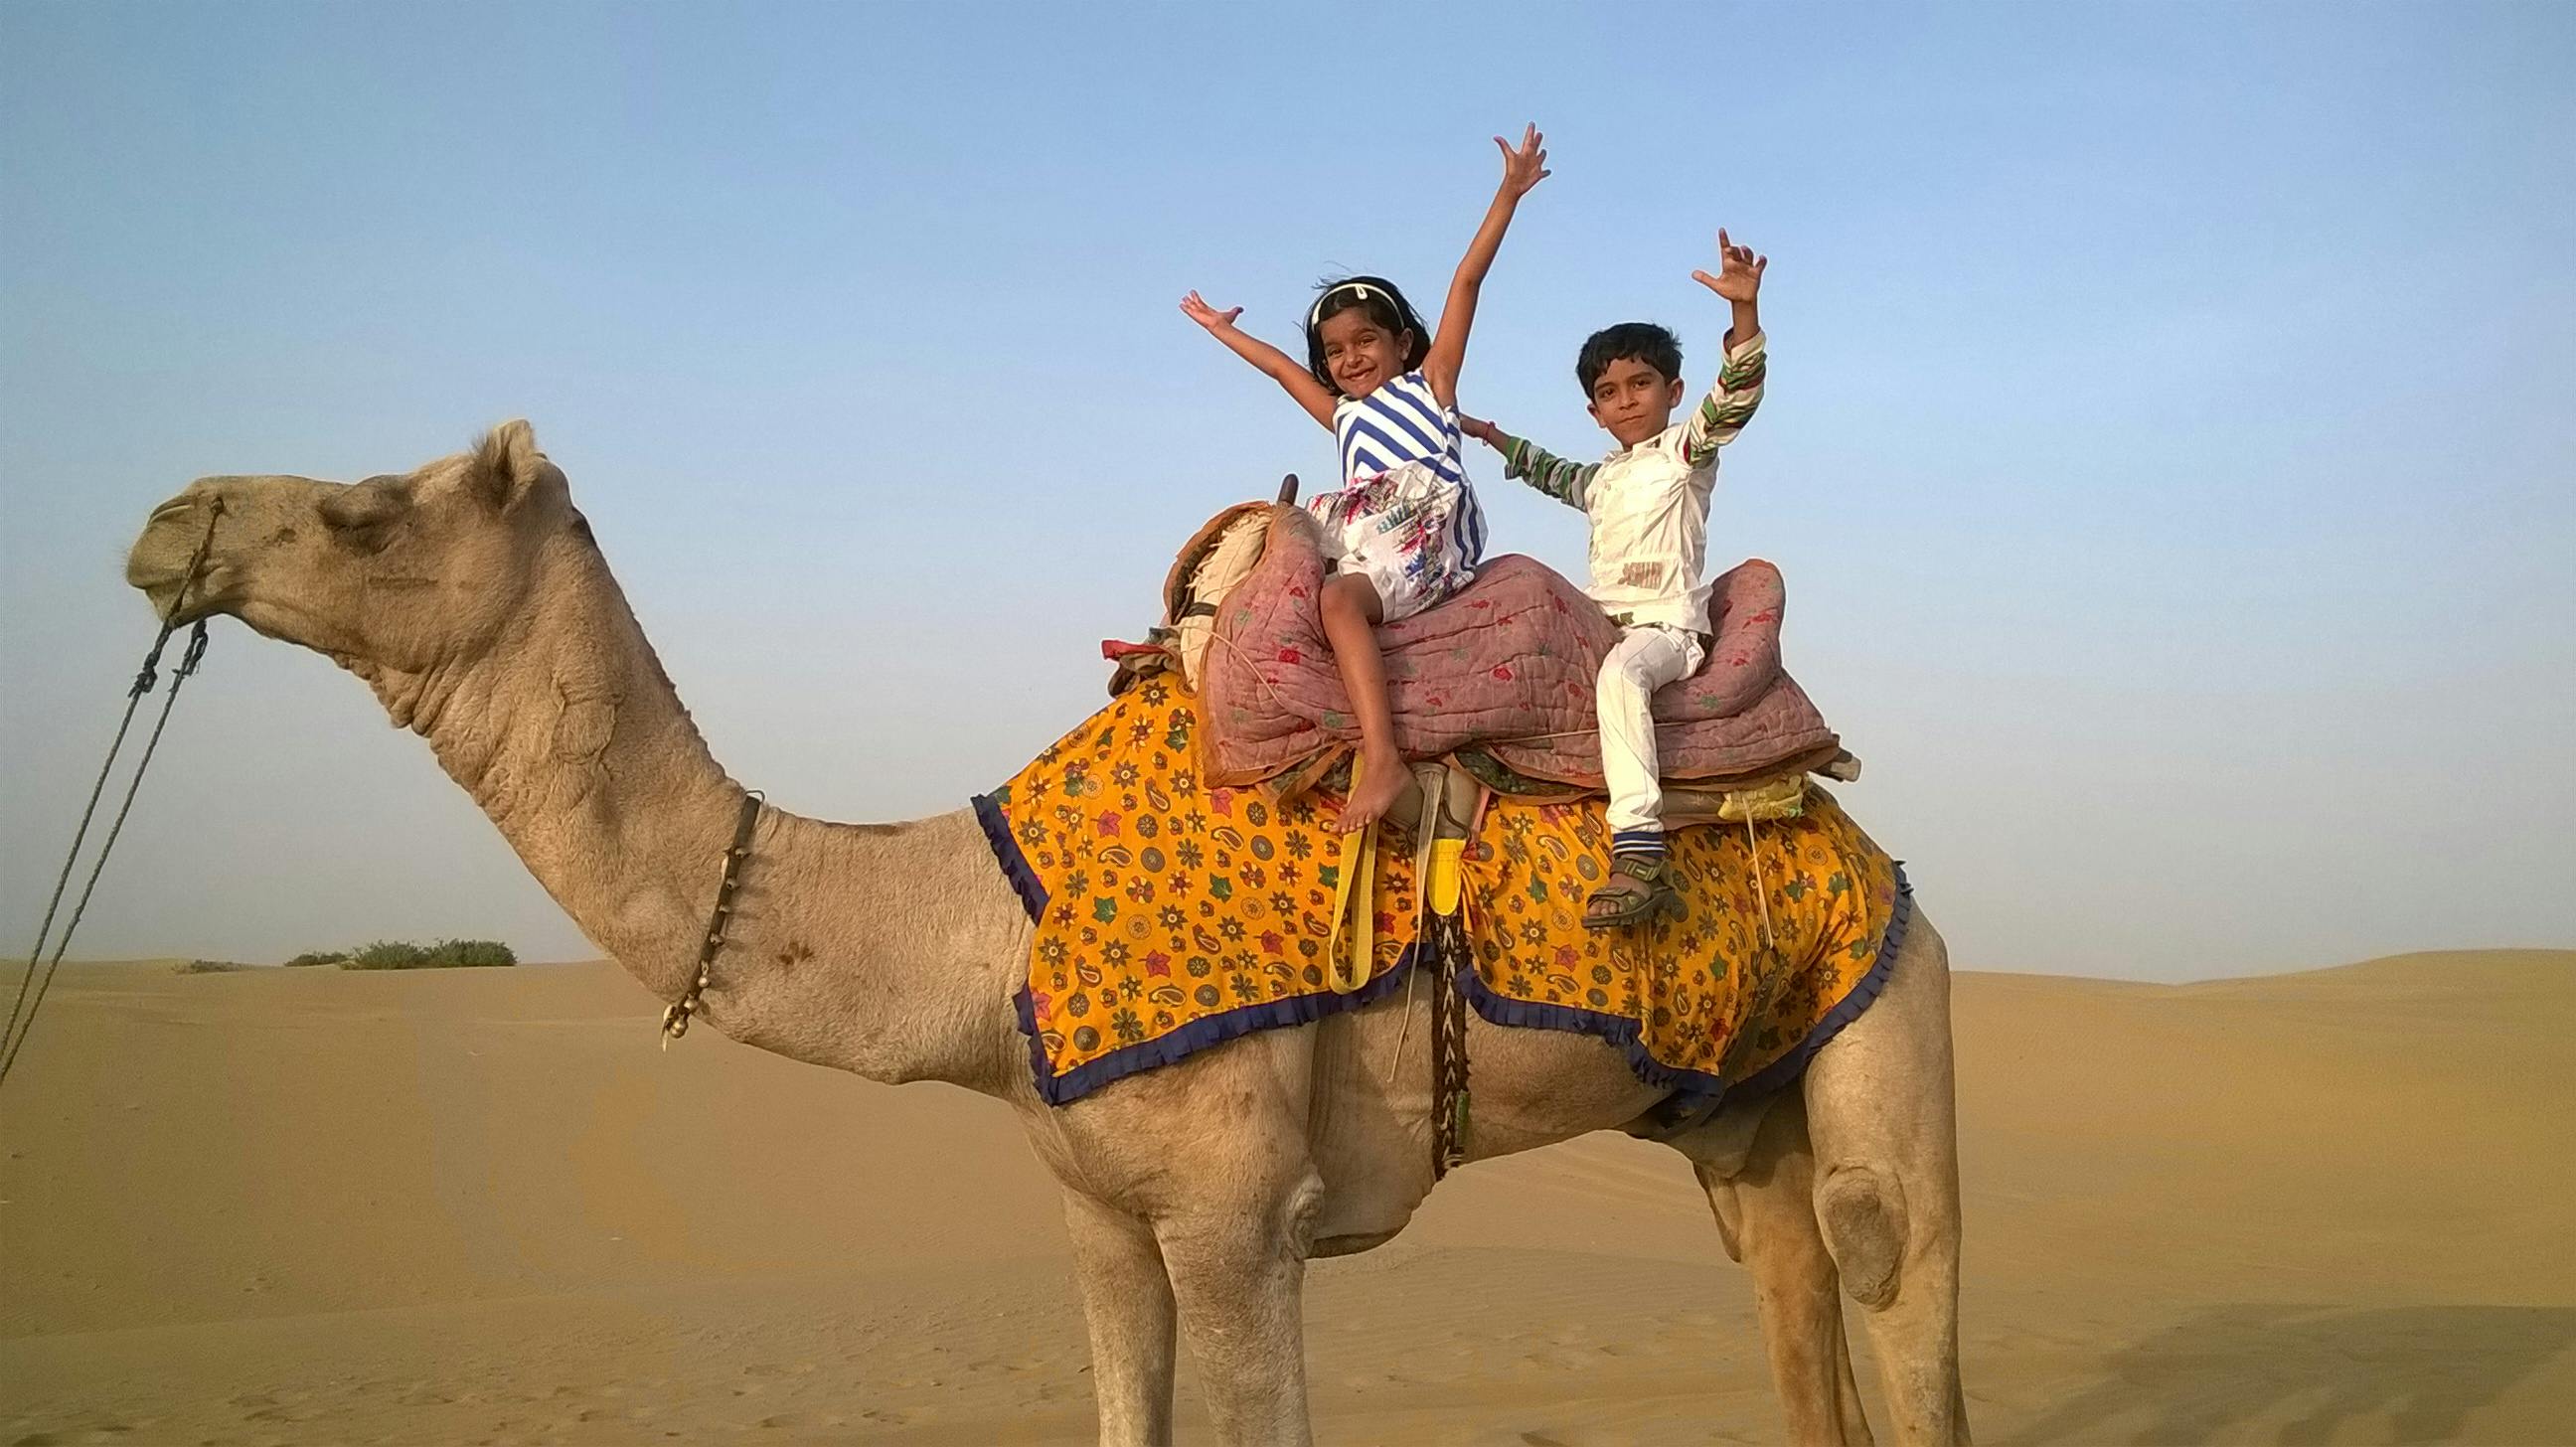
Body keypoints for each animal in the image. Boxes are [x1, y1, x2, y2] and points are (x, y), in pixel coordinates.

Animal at [124, 422, 1969, 1446]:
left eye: (368, 508)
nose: (168, 520)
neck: (982, 925)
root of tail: (1873, 845)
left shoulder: (1242, 1215)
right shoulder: (1099, 1215)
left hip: (1888, 990)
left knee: (1890, 1267)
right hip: (1733, 1110)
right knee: (1791, 1281)